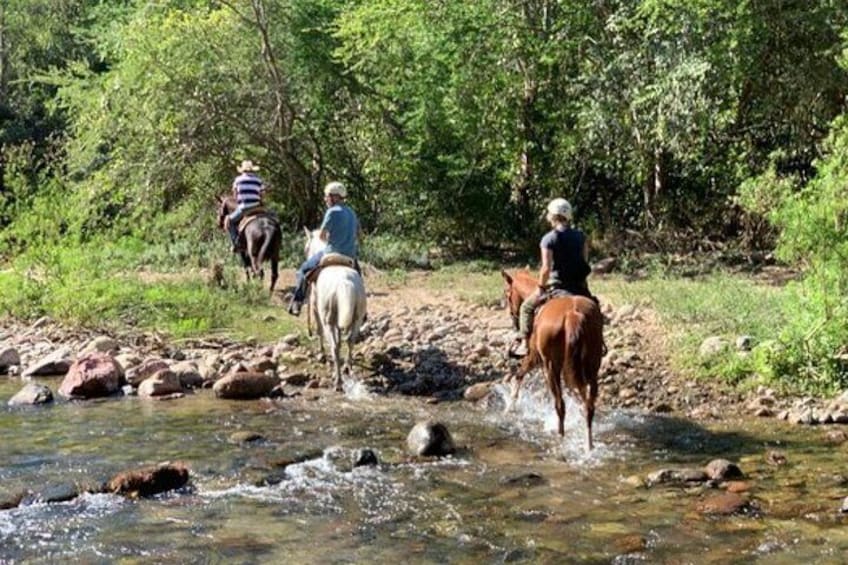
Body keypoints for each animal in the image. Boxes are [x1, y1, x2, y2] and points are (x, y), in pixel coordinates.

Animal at [306, 227, 370, 390]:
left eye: (306, 247)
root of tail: (345, 283)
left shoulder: (315, 308)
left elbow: (319, 331)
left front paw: (321, 355)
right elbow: (341, 339)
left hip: (328, 321)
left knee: (334, 347)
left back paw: (338, 381)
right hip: (357, 319)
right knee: (351, 340)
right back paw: (347, 367)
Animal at [500, 268, 608, 450]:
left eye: (508, 295)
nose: (513, 320)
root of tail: (572, 315)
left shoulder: (534, 357)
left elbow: (520, 374)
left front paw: (509, 407)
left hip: (551, 367)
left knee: (560, 405)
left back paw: (560, 436)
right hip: (591, 367)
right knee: (588, 406)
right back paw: (589, 444)